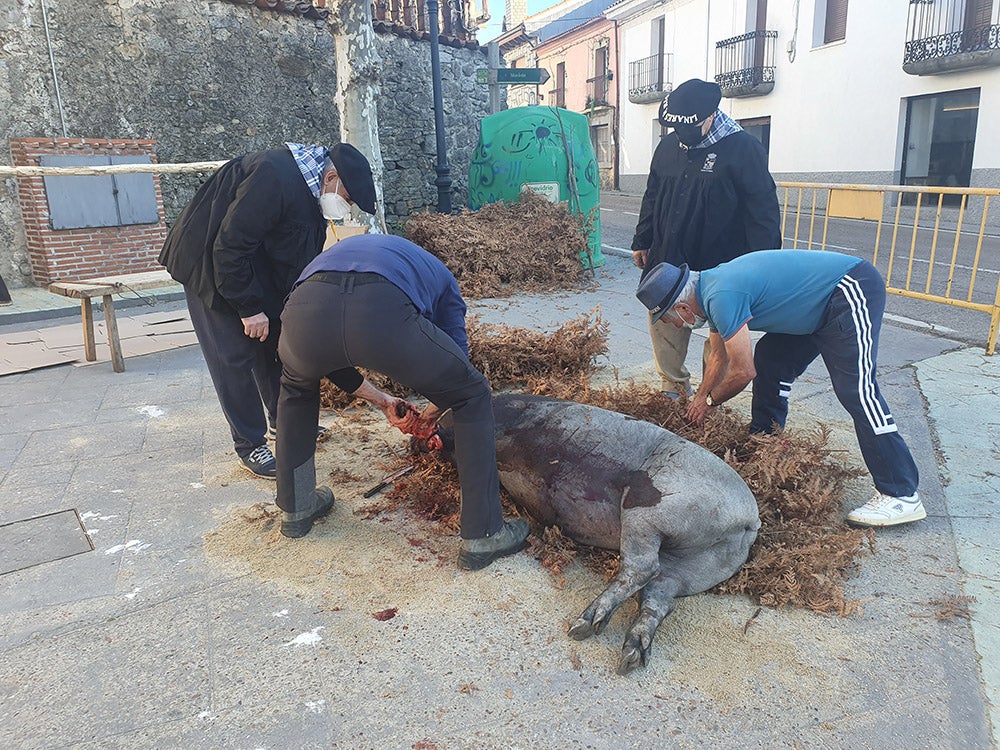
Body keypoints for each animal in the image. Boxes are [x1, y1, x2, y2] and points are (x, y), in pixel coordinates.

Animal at [490, 394, 756, 676]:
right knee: (659, 596)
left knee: (642, 568)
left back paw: (582, 625)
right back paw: (630, 655)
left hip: (647, 509)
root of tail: (750, 518)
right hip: (698, 564)